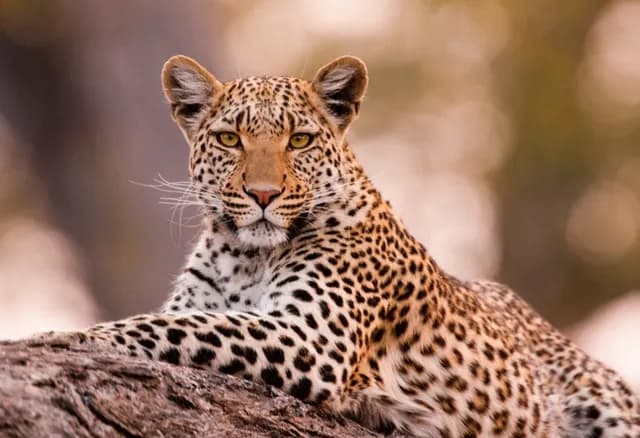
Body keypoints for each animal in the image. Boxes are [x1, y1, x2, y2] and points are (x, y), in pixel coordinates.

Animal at [31, 55, 639, 437]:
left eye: (299, 140)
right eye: (230, 139)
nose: (263, 195)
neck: (244, 256)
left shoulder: (312, 338)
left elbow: (172, 327)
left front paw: (63, 337)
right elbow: (182, 318)